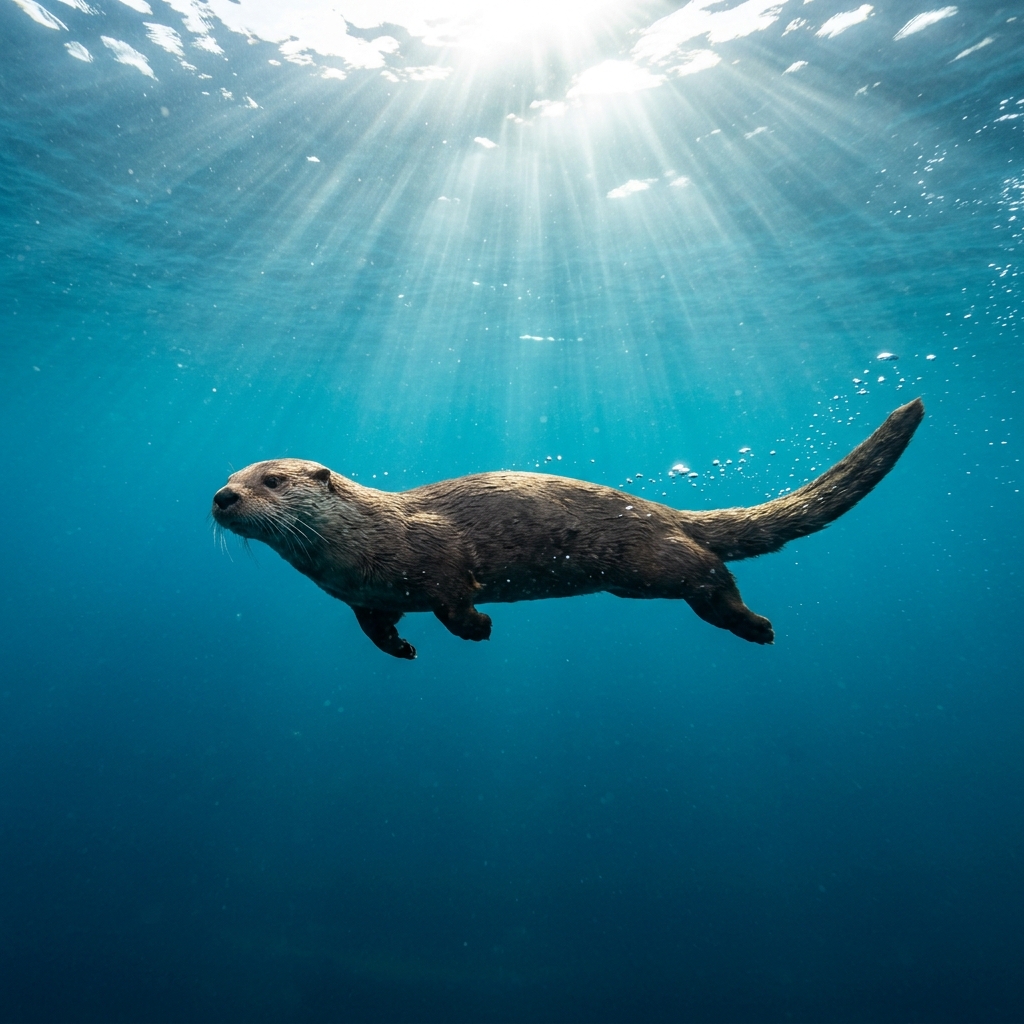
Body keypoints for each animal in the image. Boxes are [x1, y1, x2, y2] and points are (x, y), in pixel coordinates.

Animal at [211, 398, 923, 659]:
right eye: (230, 474)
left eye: (270, 481)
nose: (222, 496)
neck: (362, 540)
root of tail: (657, 508)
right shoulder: (364, 599)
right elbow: (376, 630)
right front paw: (404, 649)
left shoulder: (436, 551)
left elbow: (454, 594)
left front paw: (478, 628)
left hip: (649, 560)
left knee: (710, 570)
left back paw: (757, 626)